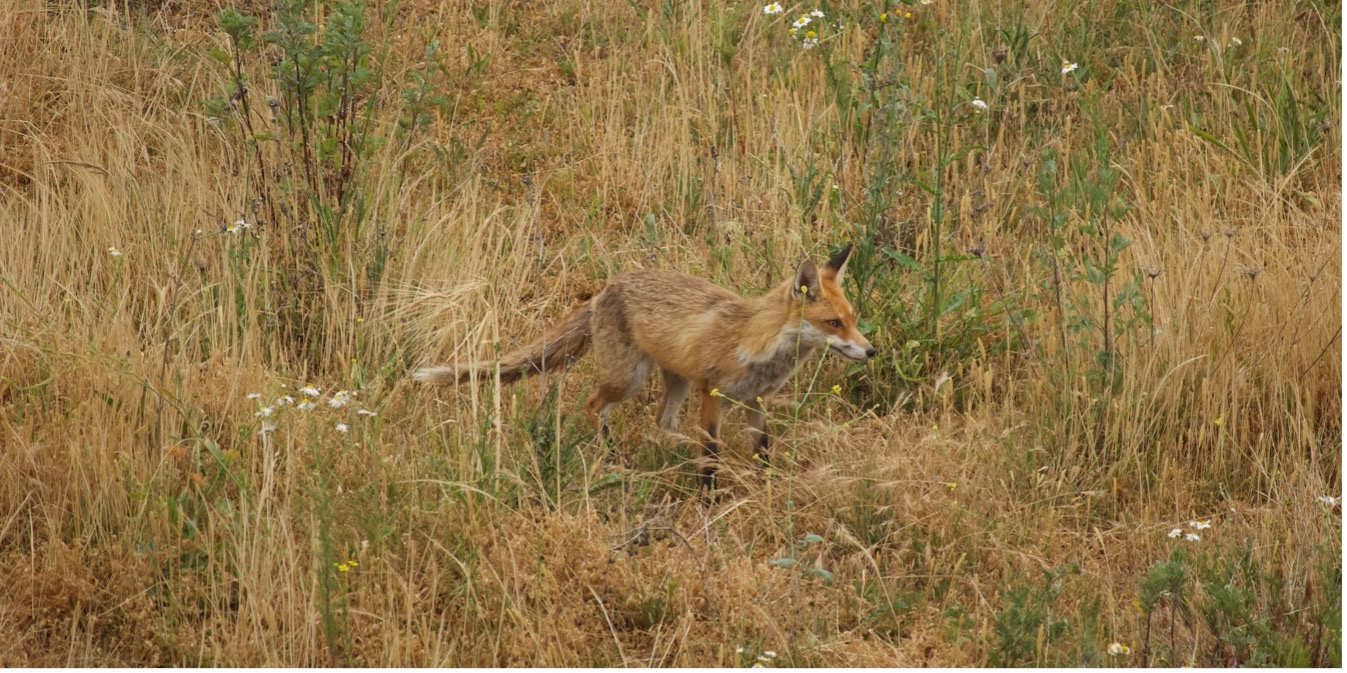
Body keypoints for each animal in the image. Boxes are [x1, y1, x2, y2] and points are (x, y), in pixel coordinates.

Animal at [413, 244, 876, 488]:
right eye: (833, 323)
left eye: (852, 319)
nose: (871, 351)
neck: (757, 344)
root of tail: (604, 290)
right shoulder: (712, 394)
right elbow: (711, 455)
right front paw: (709, 498)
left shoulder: (755, 402)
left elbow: (762, 450)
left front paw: (767, 485)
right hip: (630, 379)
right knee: (594, 406)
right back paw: (615, 458)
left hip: (675, 382)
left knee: (661, 423)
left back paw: (670, 448)